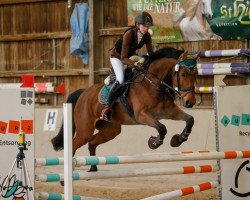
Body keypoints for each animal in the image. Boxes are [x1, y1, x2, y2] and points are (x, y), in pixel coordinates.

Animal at [51, 46, 198, 171]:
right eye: (183, 74)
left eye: (195, 74)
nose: (190, 102)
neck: (155, 84)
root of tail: (83, 93)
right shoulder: (142, 115)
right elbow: (162, 128)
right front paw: (154, 143)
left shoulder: (168, 112)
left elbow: (190, 119)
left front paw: (179, 139)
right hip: (85, 130)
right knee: (75, 144)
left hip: (111, 130)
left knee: (92, 143)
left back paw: (93, 168)